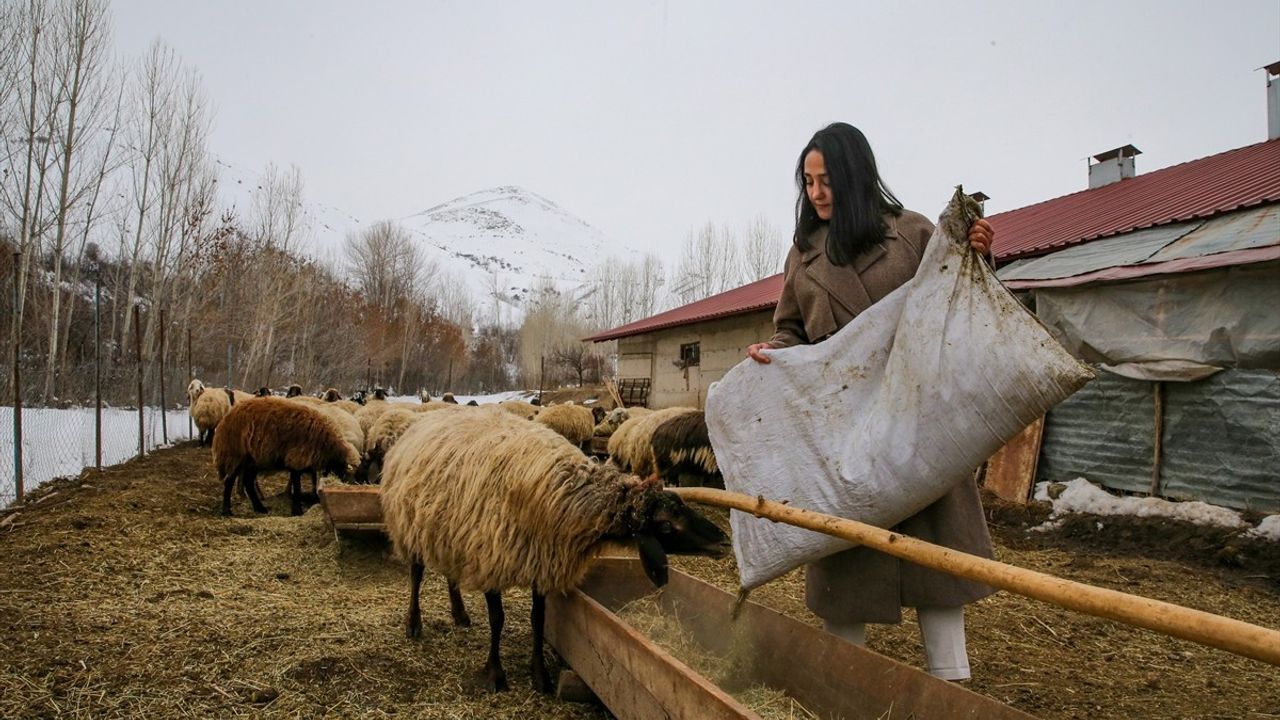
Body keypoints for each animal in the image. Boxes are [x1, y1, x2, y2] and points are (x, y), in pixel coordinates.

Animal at [212, 392, 358, 515]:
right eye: (346, 474)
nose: (348, 489)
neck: (327, 444)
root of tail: (225, 419)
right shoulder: (297, 459)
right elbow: (297, 487)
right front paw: (297, 510)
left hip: (253, 461)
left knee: (248, 483)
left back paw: (260, 508)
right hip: (235, 455)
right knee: (229, 481)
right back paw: (227, 511)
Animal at [376, 404, 732, 691]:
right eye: (667, 525)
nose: (724, 541)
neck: (561, 492)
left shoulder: (540, 560)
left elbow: (538, 618)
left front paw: (540, 675)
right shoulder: (494, 556)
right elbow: (497, 618)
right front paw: (495, 674)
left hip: (450, 531)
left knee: (451, 572)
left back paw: (460, 613)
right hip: (412, 526)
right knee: (417, 574)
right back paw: (414, 623)